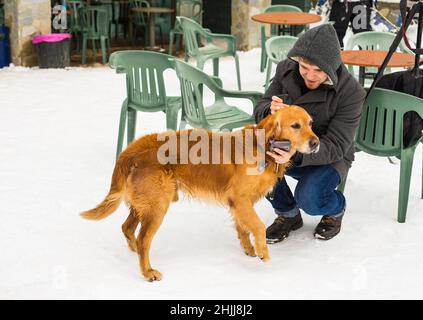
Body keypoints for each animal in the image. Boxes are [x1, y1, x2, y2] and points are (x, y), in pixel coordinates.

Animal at [79, 106, 320, 282]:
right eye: (295, 126)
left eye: (310, 123)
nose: (316, 143)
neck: (262, 146)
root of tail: (130, 151)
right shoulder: (240, 199)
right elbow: (258, 226)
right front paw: (262, 251)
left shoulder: (239, 203)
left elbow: (243, 228)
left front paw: (249, 249)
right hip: (157, 206)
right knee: (142, 239)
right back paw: (147, 271)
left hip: (145, 204)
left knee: (127, 228)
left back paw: (134, 253)